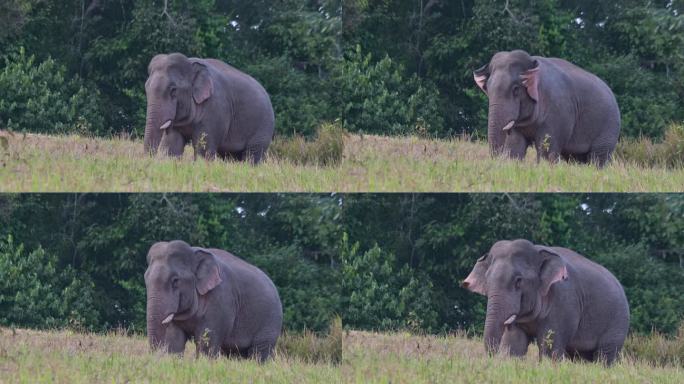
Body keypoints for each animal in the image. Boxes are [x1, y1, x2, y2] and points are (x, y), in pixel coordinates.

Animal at [144, 52, 276, 164]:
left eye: (173, 90)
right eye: (146, 88)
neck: (191, 64)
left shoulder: (215, 108)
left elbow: (204, 149)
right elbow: (172, 145)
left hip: (263, 127)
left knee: (252, 156)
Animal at [144, 238, 284, 362]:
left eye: (175, 280)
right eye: (146, 278)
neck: (193, 252)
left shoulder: (220, 300)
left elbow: (207, 343)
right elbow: (174, 340)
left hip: (270, 321)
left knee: (260, 352)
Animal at [462, 238, 628, 364]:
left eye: (518, 281)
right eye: (487, 280)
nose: (493, 356)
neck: (538, 251)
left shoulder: (563, 301)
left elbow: (550, 346)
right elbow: (515, 342)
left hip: (617, 322)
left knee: (605, 355)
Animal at [472, 50, 624, 166]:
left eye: (515, 89)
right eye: (487, 89)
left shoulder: (557, 112)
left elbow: (547, 149)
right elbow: (515, 145)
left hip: (609, 127)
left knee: (598, 158)